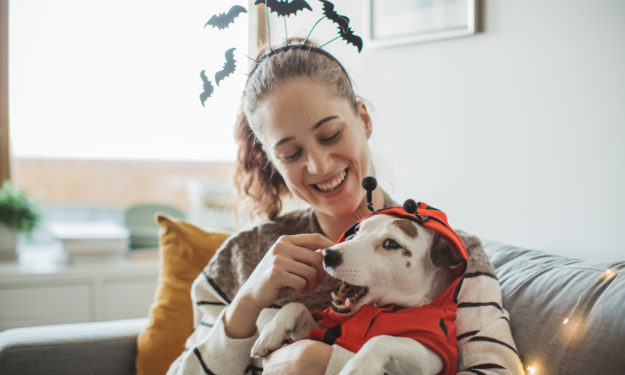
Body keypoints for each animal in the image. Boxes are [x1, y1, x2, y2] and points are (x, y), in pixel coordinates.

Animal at [251, 203, 466, 375]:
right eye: (355, 232)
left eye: (391, 243)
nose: (328, 254)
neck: (384, 308)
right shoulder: (318, 330)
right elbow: (296, 307)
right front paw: (270, 333)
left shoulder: (432, 352)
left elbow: (381, 339)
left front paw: (357, 367)